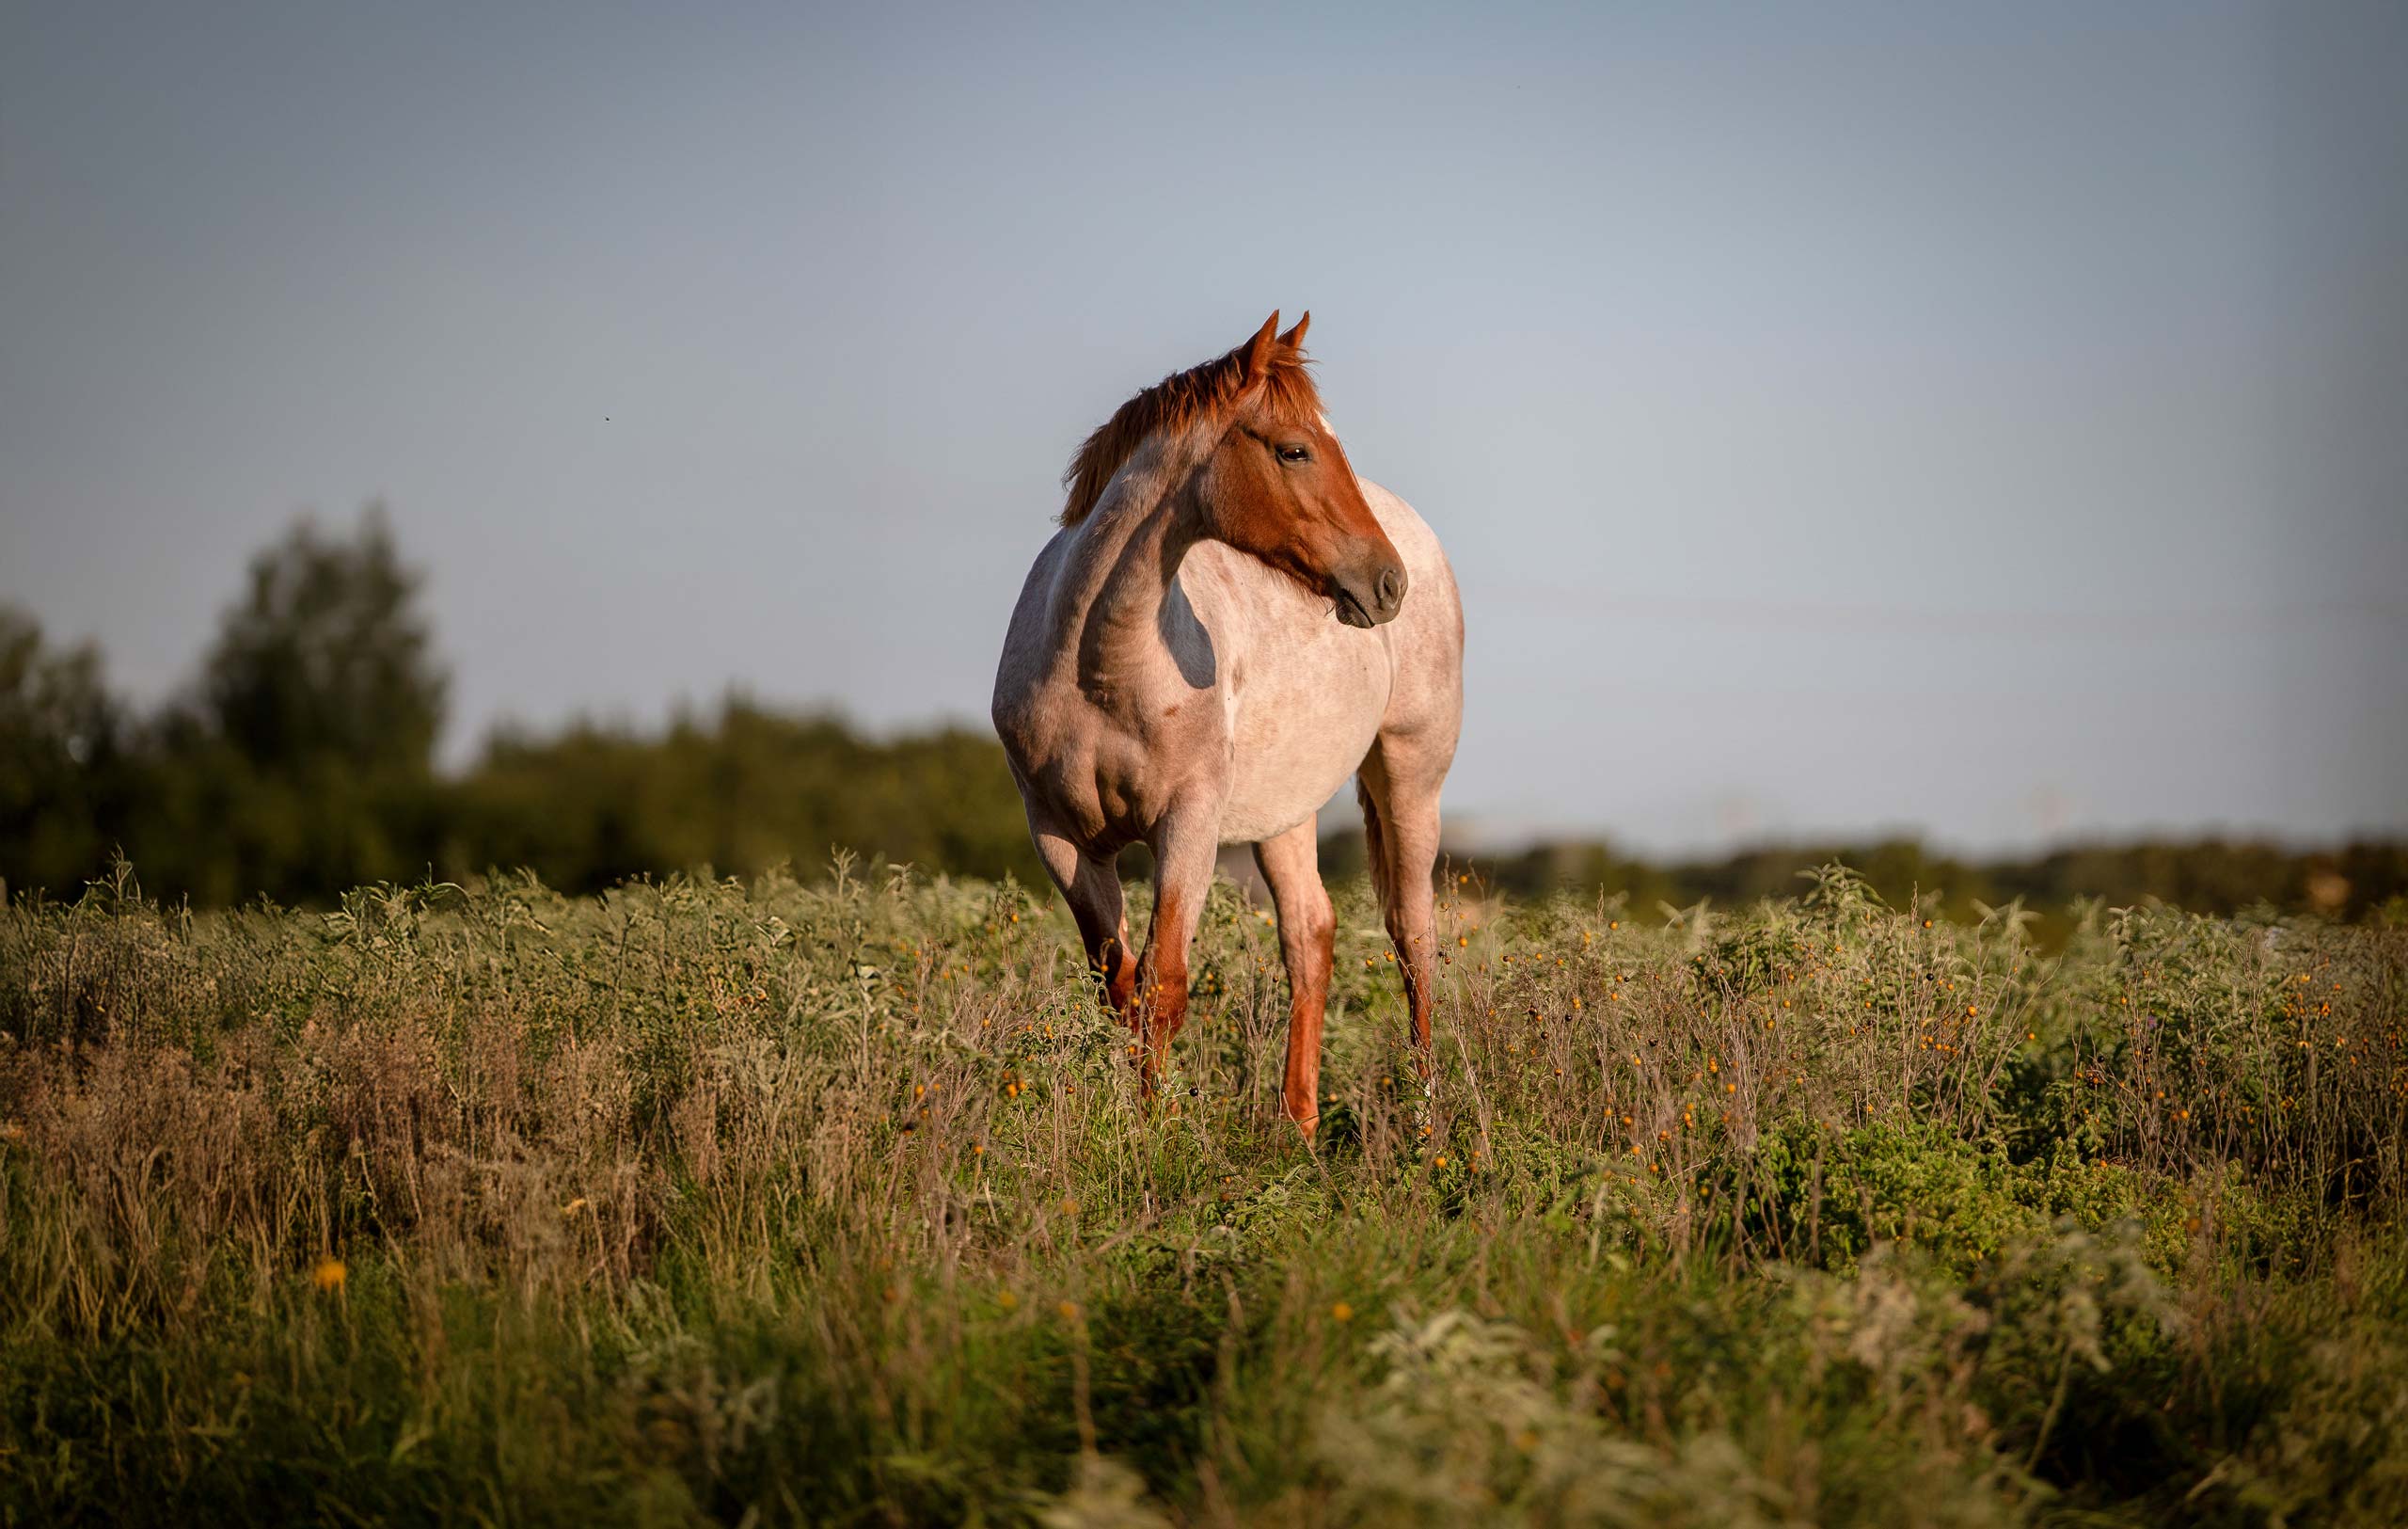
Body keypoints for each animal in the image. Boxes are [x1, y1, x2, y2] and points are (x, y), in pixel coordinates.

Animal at [991, 311, 1464, 1134]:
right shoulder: (1057, 834)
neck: (1097, 666)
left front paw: (1153, 1136)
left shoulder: (1189, 823)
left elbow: (1165, 984)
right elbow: (1119, 984)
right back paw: (1298, 1125)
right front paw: (1134, 1120)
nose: (1387, 581)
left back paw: (1426, 1114)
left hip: (1410, 780)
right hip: (1286, 810)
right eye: (1294, 448)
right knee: (1309, 933)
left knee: (1412, 938)